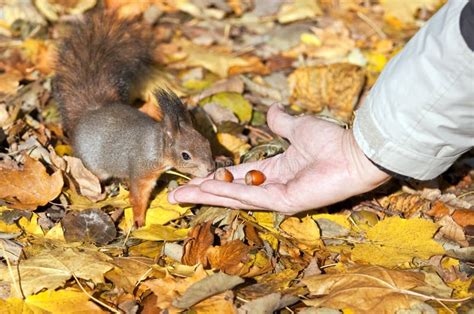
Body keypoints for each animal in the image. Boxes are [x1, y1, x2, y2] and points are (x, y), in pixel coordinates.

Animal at [53, 12, 215, 226]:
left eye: (207, 142)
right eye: (185, 155)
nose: (211, 169)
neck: (156, 146)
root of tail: (90, 111)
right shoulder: (141, 171)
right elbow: (138, 196)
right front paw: (138, 220)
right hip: (92, 164)